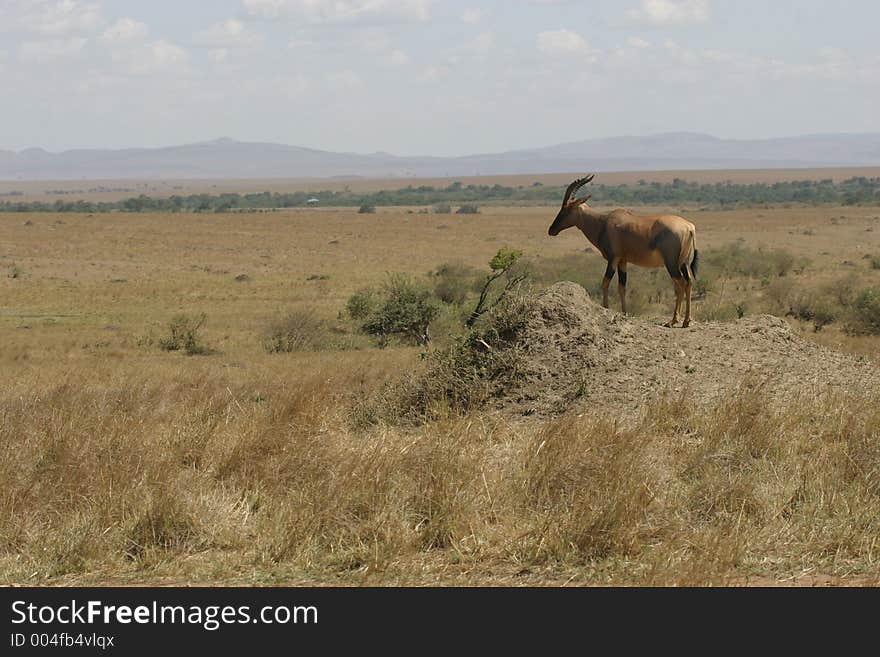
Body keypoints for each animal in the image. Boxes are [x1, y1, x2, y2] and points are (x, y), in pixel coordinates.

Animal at [548, 174, 696, 328]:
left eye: (566, 208)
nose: (551, 230)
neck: (604, 222)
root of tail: (689, 227)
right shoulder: (623, 261)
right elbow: (622, 286)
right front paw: (624, 313)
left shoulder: (613, 259)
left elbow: (605, 282)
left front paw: (606, 308)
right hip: (683, 263)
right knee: (689, 283)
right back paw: (686, 320)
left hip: (671, 264)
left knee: (681, 284)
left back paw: (674, 320)